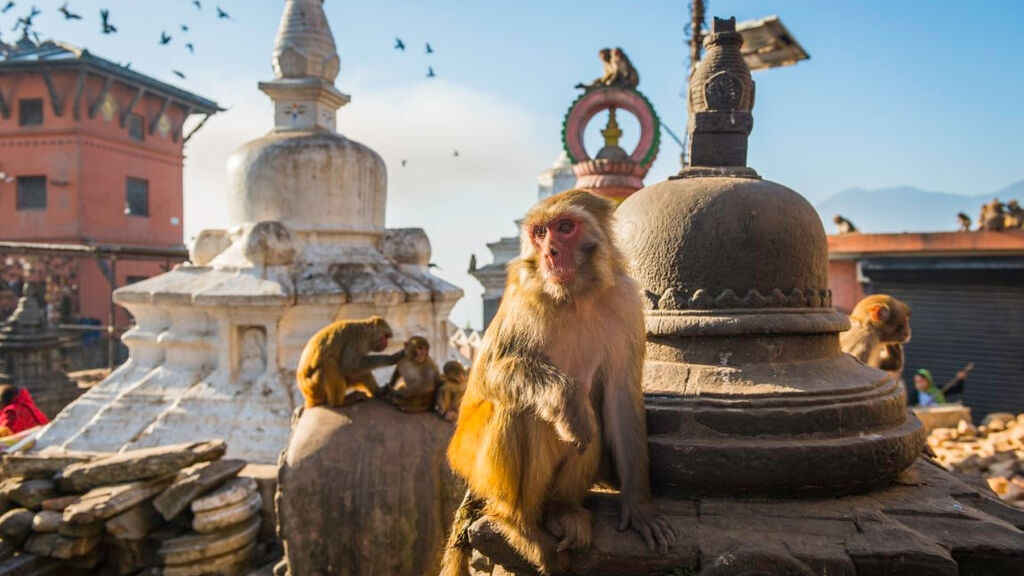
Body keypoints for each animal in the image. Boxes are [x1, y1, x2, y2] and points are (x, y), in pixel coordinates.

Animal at [438, 189, 671, 573]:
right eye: (539, 232)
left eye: (565, 228)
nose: (550, 253)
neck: (576, 297)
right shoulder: (522, 295)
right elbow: (489, 374)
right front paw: (566, 398)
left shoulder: (626, 302)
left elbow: (621, 399)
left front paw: (639, 508)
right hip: (474, 464)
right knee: (524, 410)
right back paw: (520, 526)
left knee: (590, 424)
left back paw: (561, 510)